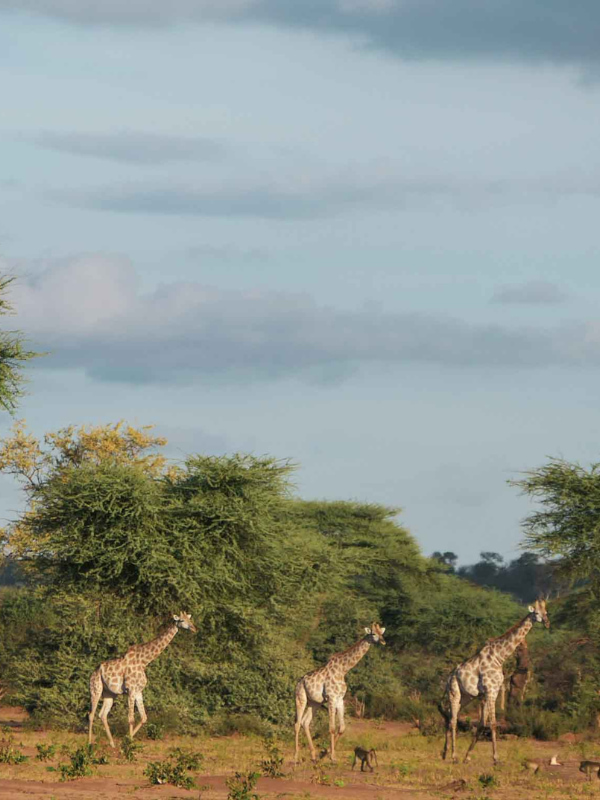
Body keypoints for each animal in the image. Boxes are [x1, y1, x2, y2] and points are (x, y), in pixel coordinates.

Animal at [88, 611, 197, 748]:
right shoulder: (130, 689)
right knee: (91, 714)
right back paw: (89, 743)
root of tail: (94, 672)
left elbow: (144, 717)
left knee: (102, 715)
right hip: (96, 689)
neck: (144, 661)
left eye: (189, 619)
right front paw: (128, 743)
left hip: (110, 693)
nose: (194, 628)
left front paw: (128, 739)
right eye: (182, 620)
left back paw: (112, 744)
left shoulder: (138, 691)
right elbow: (131, 719)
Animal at [294, 622, 386, 764]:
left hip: (314, 703)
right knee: (297, 724)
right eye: (373, 633)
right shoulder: (331, 698)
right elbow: (332, 728)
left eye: (381, 633)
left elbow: (342, 728)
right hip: (300, 698)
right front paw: (332, 757)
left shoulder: (340, 699)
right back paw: (296, 757)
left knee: (305, 722)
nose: (383, 641)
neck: (343, 670)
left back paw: (314, 756)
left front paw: (325, 753)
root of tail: (299, 682)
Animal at [440, 599, 549, 764]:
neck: (499, 657)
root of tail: (449, 677)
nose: (547, 623)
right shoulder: (490, 690)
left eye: (546, 612)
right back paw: (454, 756)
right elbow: (492, 723)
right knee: (453, 720)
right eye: (536, 612)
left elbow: (482, 724)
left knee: (450, 716)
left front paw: (468, 756)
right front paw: (496, 758)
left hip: (467, 697)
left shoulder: (494, 691)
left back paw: (445, 753)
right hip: (454, 692)